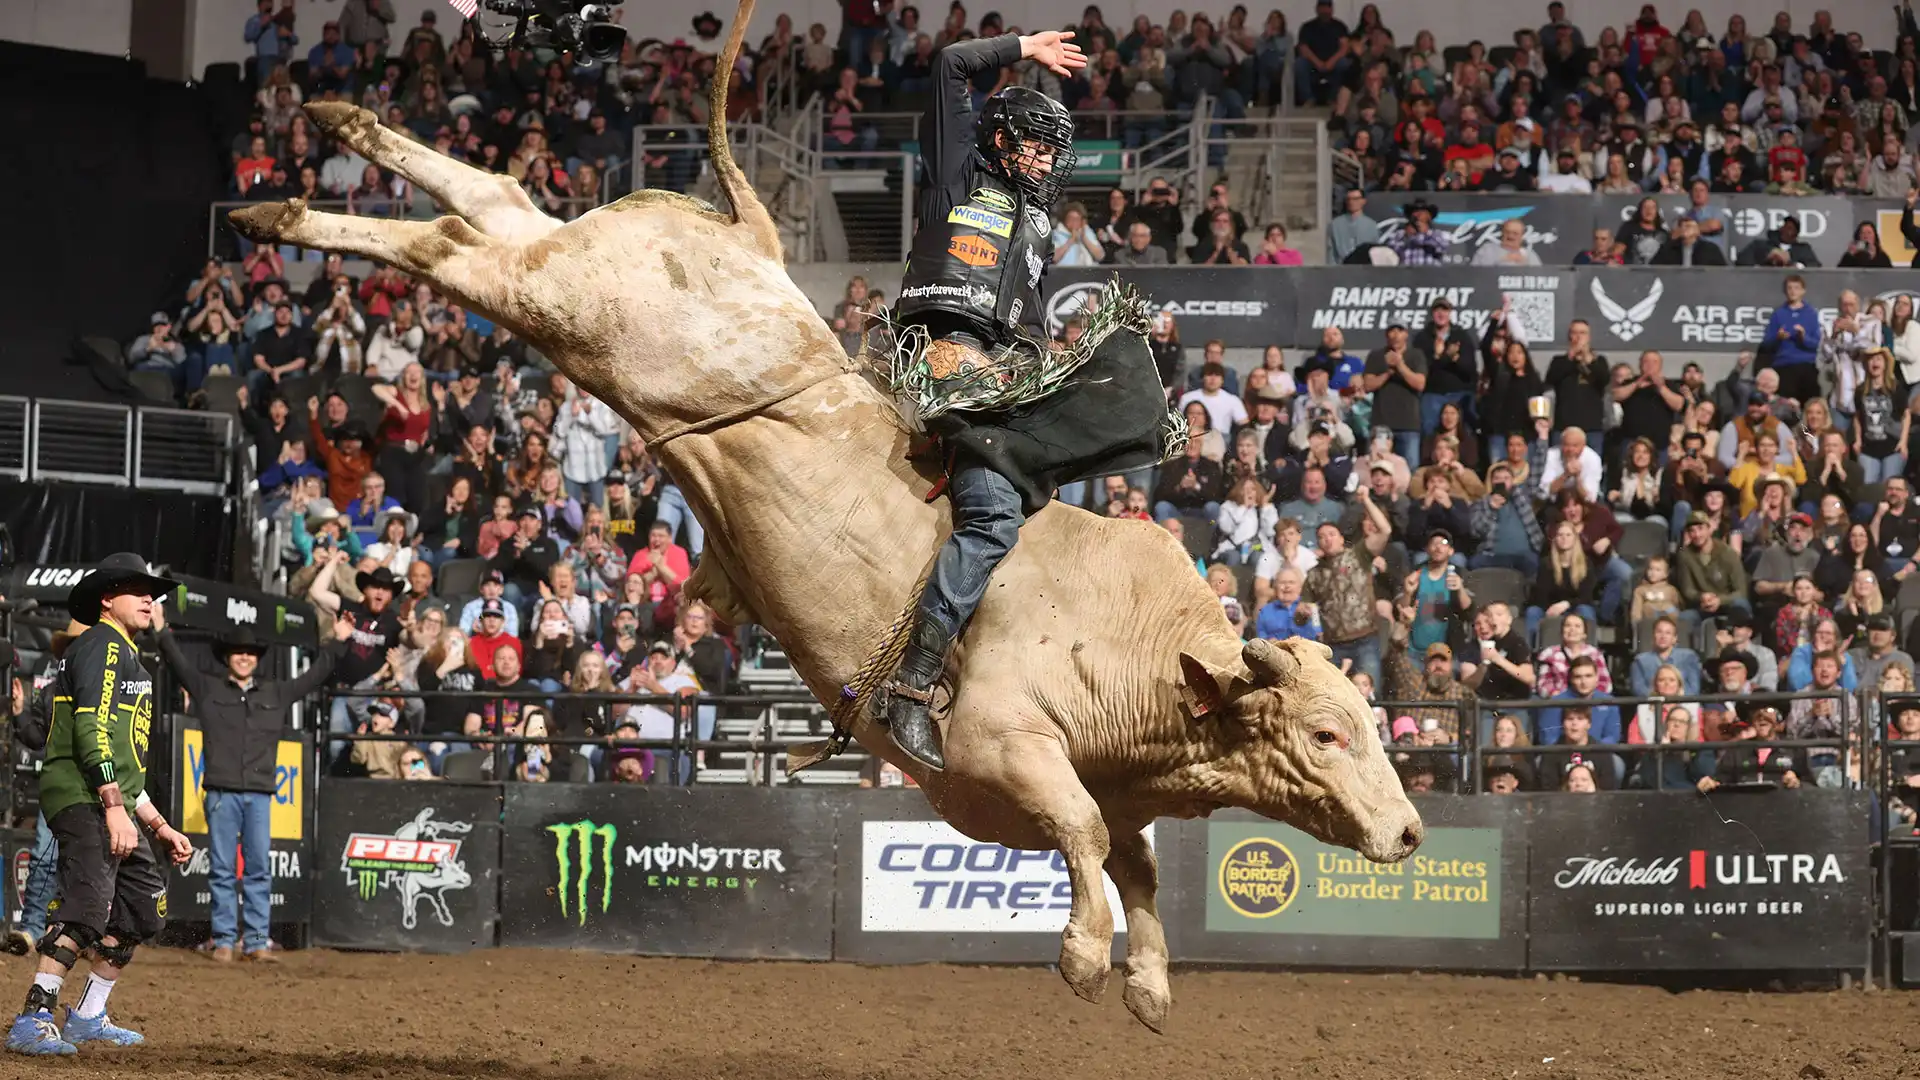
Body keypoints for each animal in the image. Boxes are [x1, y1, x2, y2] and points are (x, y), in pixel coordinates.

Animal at [229, 0, 1422, 1030]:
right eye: (1326, 732)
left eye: (1368, 723)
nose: (1411, 831)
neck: (1144, 670)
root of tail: (757, 243)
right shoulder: (1009, 749)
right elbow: (1085, 835)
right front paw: (1088, 958)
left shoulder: (1123, 799)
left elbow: (1137, 869)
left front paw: (1151, 985)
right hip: (570, 306)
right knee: (451, 248)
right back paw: (280, 202)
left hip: (571, 279)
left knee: (491, 198)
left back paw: (326, 137)